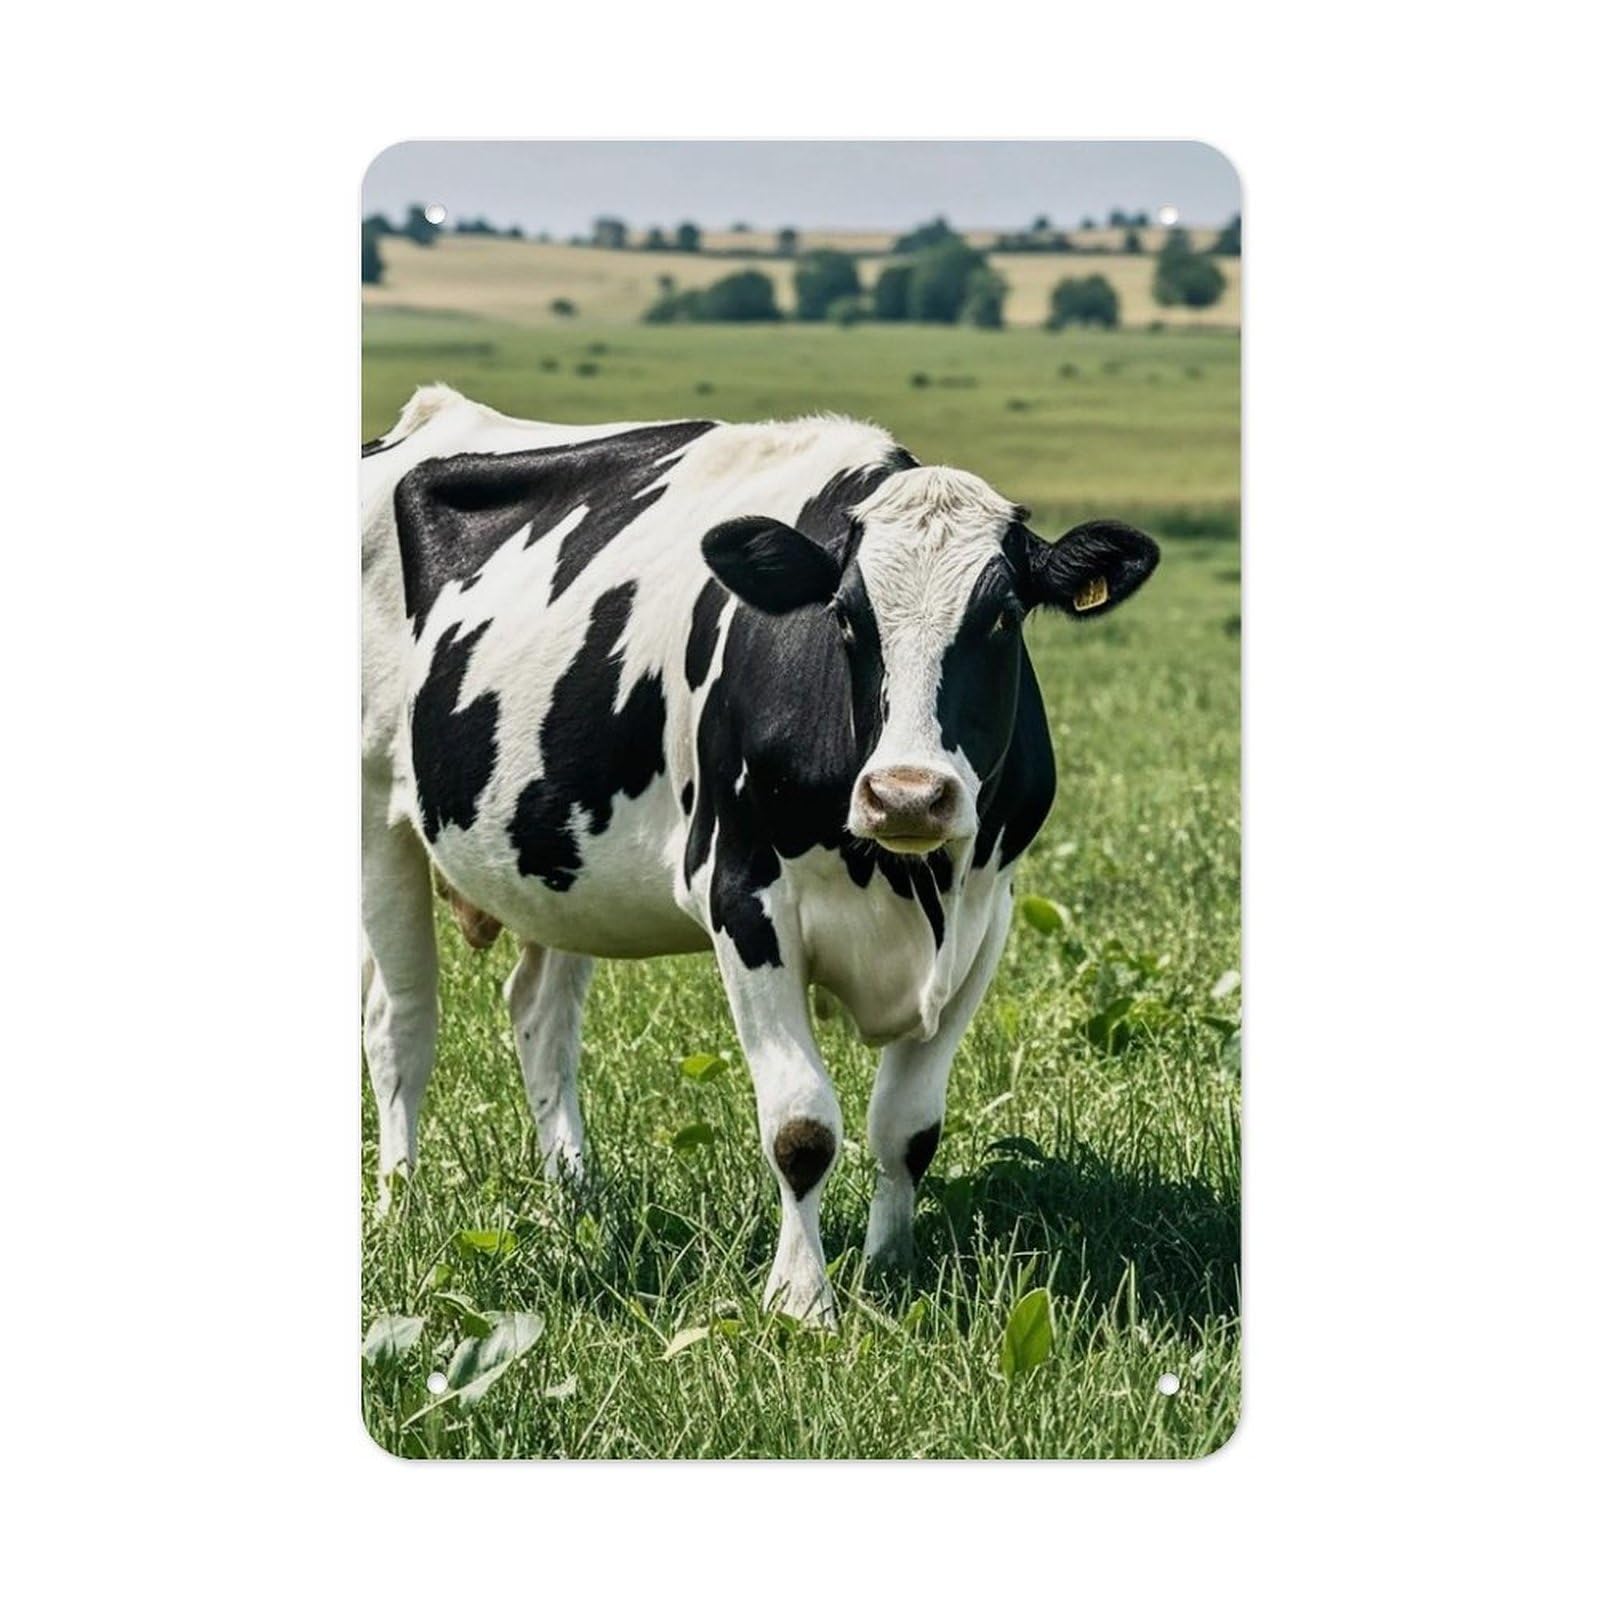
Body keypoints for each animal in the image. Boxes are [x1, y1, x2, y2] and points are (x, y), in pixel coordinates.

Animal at [361, 384, 1159, 1321]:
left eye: (1002, 618)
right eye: (846, 618)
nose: (908, 793)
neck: (907, 881)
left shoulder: (986, 914)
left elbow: (909, 1128)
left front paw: (890, 1273)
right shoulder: (743, 895)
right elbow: (802, 1125)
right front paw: (802, 1301)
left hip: (557, 865)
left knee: (540, 1019)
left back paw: (575, 1200)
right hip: (374, 810)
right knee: (399, 1025)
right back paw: (401, 1204)